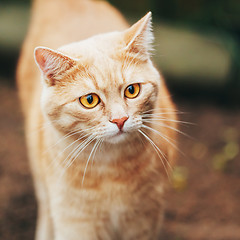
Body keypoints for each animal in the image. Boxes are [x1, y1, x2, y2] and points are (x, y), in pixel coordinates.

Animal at [16, 0, 177, 240]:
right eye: (89, 100)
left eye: (132, 90)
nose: (120, 119)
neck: (110, 169)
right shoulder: (76, 223)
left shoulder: (145, 221)